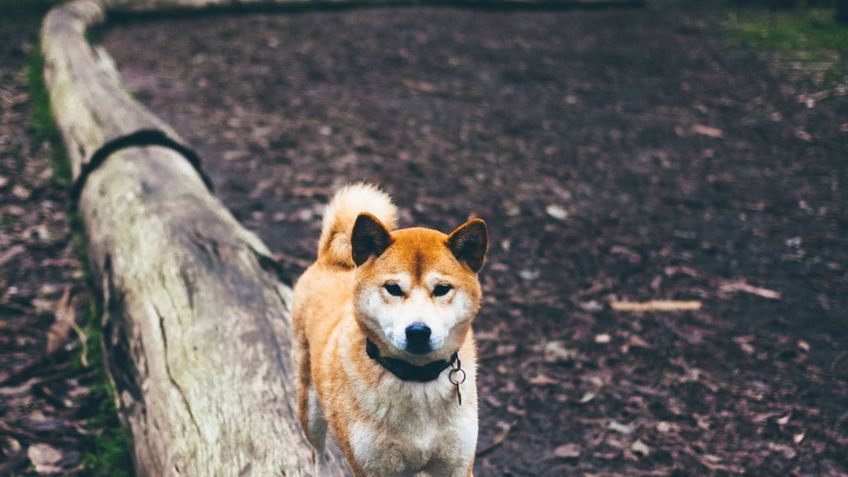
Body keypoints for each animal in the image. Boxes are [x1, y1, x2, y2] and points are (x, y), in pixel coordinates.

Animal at [294, 183, 486, 476]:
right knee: (318, 454)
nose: (418, 331)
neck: (417, 380)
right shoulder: (372, 467)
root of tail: (331, 260)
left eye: (441, 289)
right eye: (393, 288)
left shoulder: (456, 465)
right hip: (311, 408)